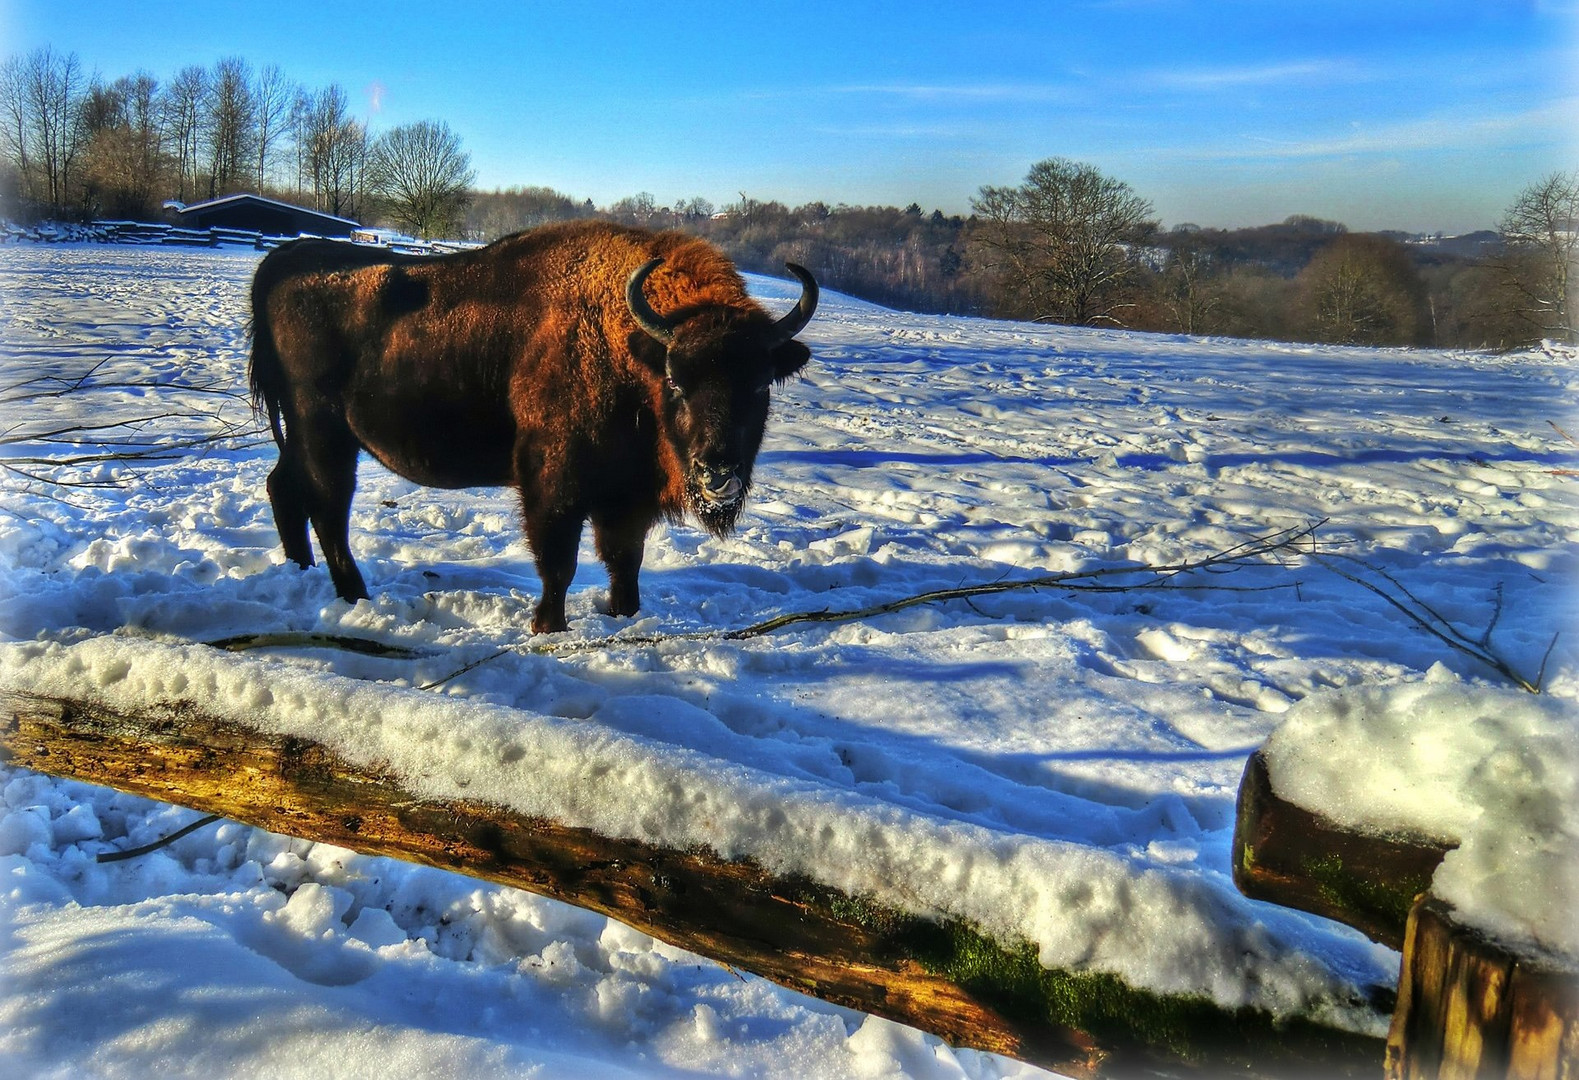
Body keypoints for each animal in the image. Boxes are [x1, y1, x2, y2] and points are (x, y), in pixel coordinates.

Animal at [246, 219, 821, 628]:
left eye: (760, 385)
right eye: (676, 381)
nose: (716, 473)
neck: (631, 347)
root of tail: (285, 259)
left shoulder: (626, 498)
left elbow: (624, 562)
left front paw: (624, 616)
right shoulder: (553, 485)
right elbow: (558, 562)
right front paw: (548, 626)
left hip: (301, 434)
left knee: (284, 488)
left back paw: (302, 573)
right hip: (324, 433)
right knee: (328, 508)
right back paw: (354, 595)